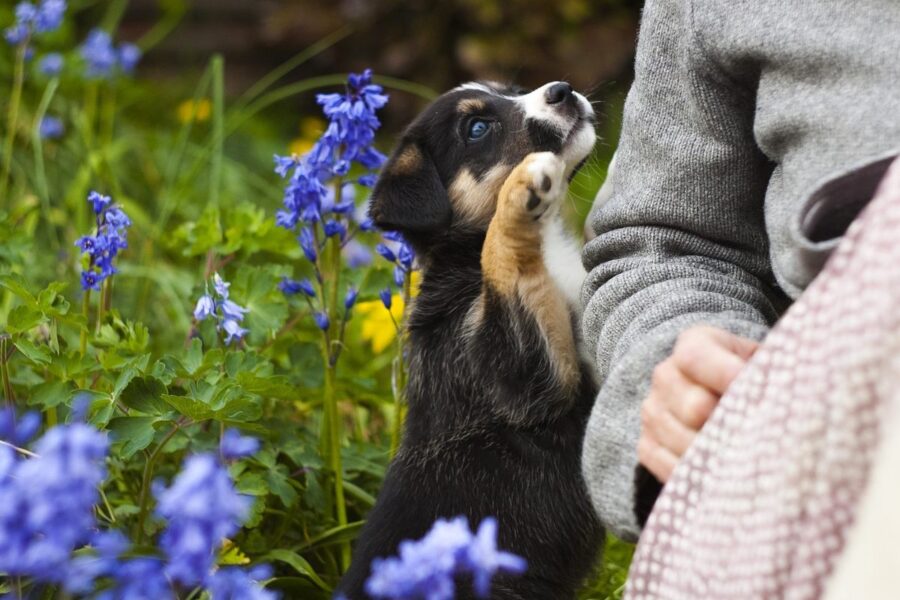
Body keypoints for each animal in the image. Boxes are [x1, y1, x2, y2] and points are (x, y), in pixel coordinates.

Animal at [338, 81, 604, 600]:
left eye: (512, 91)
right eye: (477, 128)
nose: (562, 90)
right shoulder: (524, 379)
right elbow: (501, 259)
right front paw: (519, 191)